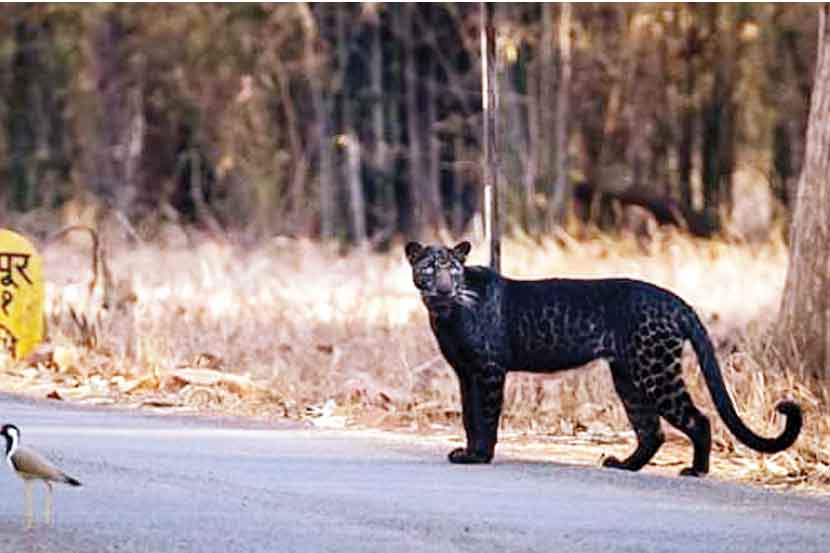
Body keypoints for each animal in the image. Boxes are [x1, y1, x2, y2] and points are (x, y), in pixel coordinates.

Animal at [406, 239, 804, 476]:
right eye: (429, 268)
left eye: (452, 269)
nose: (444, 287)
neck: (444, 314)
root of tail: (676, 301)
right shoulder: (465, 372)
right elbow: (468, 415)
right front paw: (469, 451)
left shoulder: (489, 370)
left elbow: (486, 416)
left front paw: (480, 456)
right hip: (628, 376)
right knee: (651, 430)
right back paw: (625, 465)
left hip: (655, 372)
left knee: (698, 419)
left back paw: (696, 470)